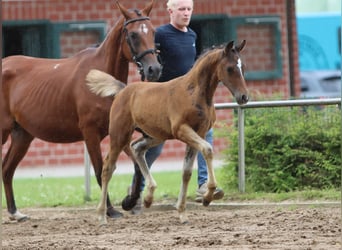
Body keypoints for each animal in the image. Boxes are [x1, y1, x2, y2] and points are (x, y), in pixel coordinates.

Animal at [1, 0, 162, 222]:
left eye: (153, 31)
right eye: (133, 35)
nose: (154, 69)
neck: (99, 80)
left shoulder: (120, 133)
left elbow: (137, 166)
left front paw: (129, 201)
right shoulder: (90, 133)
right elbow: (101, 169)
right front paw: (110, 210)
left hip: (22, 135)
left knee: (7, 169)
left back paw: (15, 212)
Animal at [86, 40, 248, 224]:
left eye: (242, 67)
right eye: (230, 68)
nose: (244, 97)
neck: (193, 92)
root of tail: (123, 90)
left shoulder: (199, 133)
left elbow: (186, 172)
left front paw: (183, 212)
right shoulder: (182, 130)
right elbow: (207, 149)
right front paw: (207, 197)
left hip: (155, 135)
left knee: (137, 148)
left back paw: (148, 198)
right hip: (119, 134)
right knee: (108, 167)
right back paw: (102, 214)